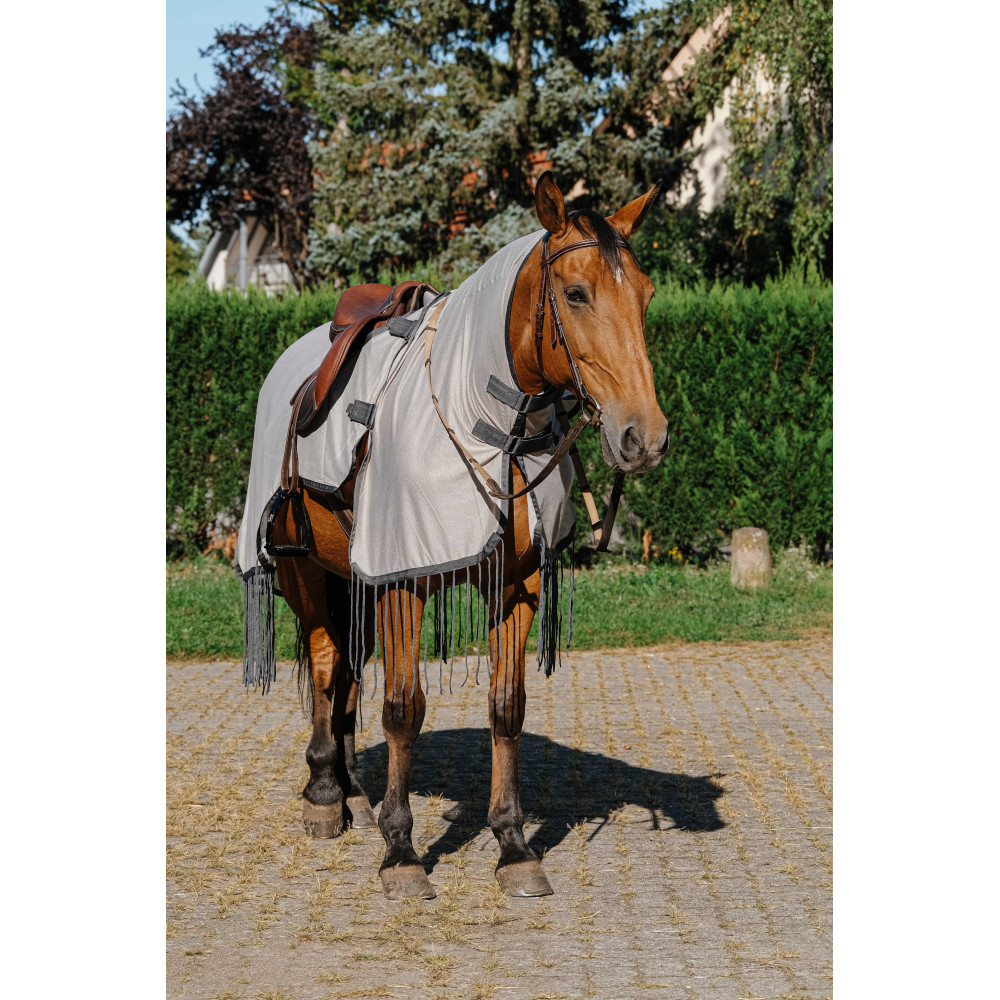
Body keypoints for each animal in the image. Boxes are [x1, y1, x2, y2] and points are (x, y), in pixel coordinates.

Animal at [236, 172, 669, 900]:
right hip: (303, 570)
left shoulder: (514, 585)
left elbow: (506, 706)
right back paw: (324, 793)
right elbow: (403, 708)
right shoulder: (402, 579)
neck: (485, 420)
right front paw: (401, 852)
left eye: (645, 293)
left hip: (351, 576)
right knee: (326, 663)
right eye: (576, 293)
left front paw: (512, 844)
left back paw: (352, 790)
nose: (645, 437)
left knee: (346, 671)